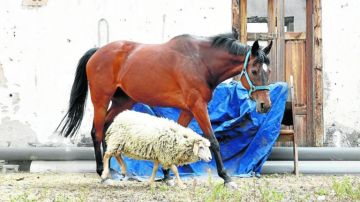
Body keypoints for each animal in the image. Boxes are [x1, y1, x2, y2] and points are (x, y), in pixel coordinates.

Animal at [57, 33, 272, 188]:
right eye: (254, 71)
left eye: (267, 71)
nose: (266, 105)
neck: (200, 61)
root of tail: (98, 51)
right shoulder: (198, 107)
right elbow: (213, 140)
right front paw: (226, 177)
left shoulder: (188, 110)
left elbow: (175, 139)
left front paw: (168, 175)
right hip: (101, 101)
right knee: (97, 132)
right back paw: (103, 173)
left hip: (123, 101)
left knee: (108, 129)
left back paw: (112, 171)